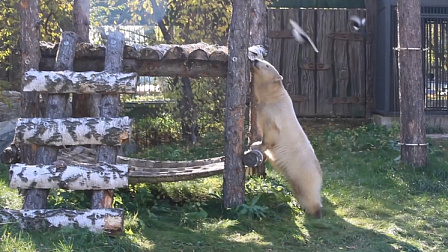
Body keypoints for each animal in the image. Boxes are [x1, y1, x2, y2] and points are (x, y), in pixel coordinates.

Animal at [250, 58, 324, 218]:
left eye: (266, 65)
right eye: (263, 60)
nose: (255, 60)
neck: (273, 97)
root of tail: (320, 174)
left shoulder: (275, 115)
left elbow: (271, 135)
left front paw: (256, 145)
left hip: (303, 172)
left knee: (307, 192)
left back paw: (315, 211)